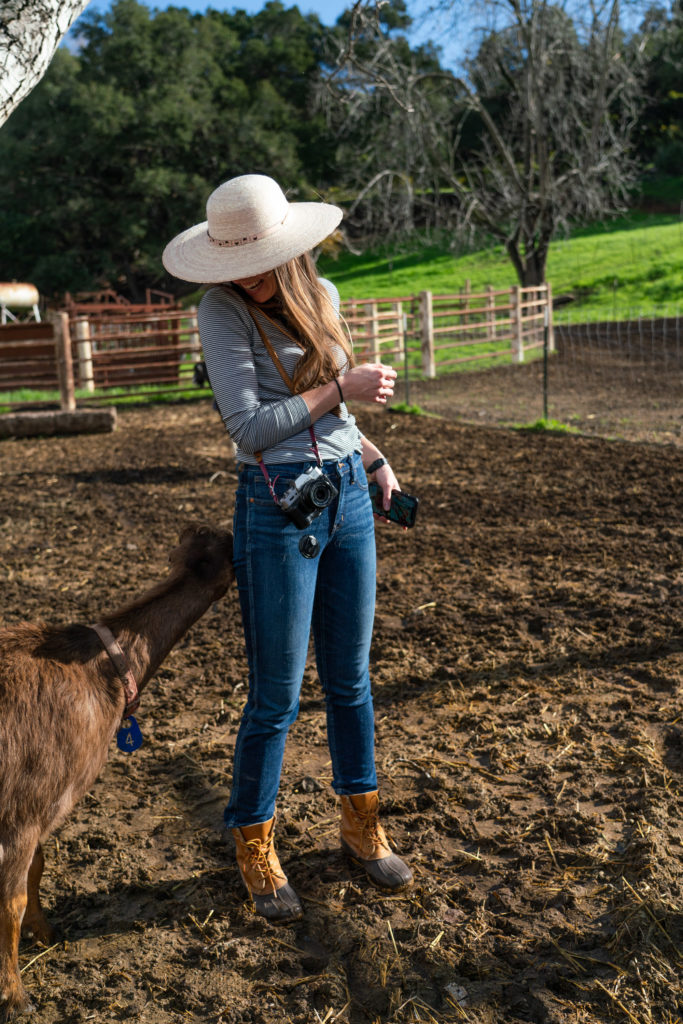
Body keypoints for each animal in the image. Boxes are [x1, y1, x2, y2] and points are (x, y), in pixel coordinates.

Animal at [0, 524, 235, 1019]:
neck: (100, 665)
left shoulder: (48, 806)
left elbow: (38, 869)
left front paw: (46, 933)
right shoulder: (23, 810)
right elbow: (11, 901)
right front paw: (14, 995)